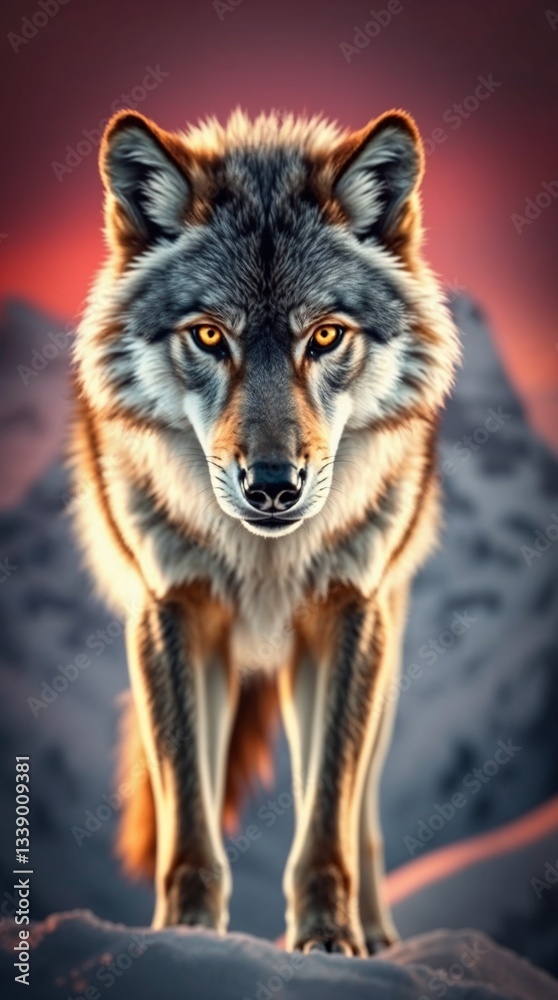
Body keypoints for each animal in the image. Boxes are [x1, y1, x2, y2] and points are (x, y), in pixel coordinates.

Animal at [71, 107, 459, 956]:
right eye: (212, 337)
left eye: (326, 337)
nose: (275, 486)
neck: (266, 560)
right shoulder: (171, 610)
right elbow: (188, 813)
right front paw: (185, 939)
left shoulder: (349, 612)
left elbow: (329, 815)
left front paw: (330, 938)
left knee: (364, 812)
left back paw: (377, 934)